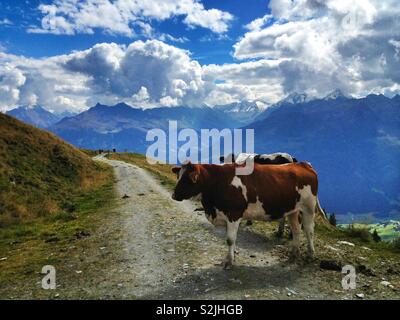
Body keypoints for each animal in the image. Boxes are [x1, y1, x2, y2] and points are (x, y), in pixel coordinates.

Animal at [173, 161, 324, 268]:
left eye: (187, 179)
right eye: (178, 176)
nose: (174, 195)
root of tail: (302, 164)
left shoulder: (233, 213)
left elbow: (230, 239)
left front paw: (229, 261)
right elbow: (231, 239)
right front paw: (232, 256)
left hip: (308, 207)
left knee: (309, 231)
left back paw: (310, 255)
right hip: (293, 209)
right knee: (296, 230)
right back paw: (294, 253)